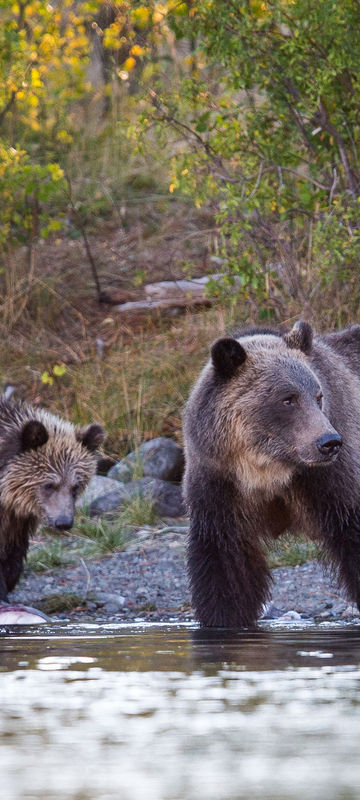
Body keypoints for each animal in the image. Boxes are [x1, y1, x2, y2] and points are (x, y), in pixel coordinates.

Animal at [184, 322, 360, 628]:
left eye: (318, 396)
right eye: (287, 399)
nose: (329, 442)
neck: (267, 469)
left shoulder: (328, 481)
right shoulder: (219, 485)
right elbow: (224, 564)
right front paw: (223, 617)